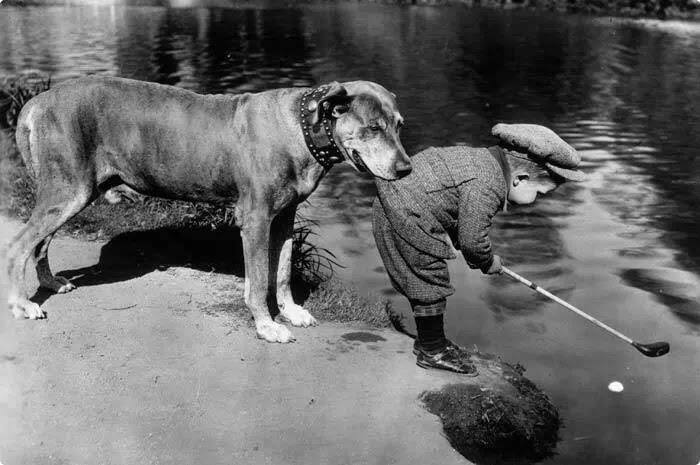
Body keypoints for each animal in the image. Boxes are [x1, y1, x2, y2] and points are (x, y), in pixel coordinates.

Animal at [5, 77, 410, 340]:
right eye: (373, 128)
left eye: (399, 126)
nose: (406, 168)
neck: (301, 126)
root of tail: (38, 100)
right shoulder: (256, 220)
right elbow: (259, 279)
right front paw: (267, 325)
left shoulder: (284, 218)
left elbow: (281, 271)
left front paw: (291, 312)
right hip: (68, 190)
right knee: (18, 246)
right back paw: (22, 304)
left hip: (73, 192)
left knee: (40, 243)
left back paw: (50, 282)